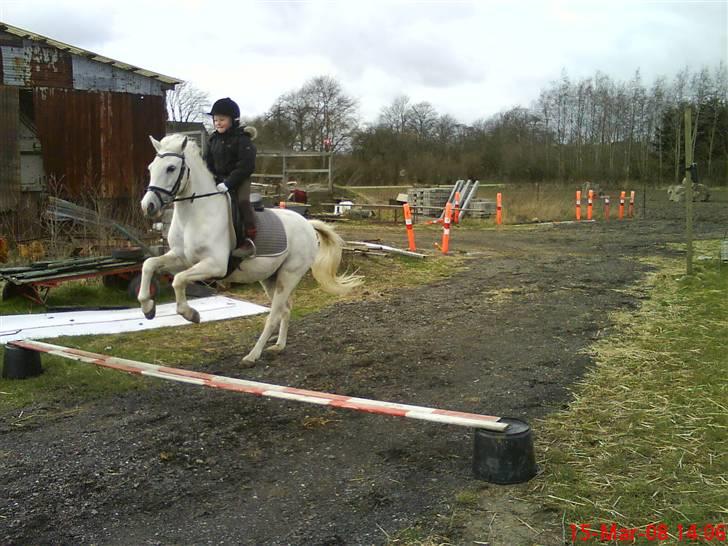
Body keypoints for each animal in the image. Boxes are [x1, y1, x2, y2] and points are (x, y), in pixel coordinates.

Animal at [138, 133, 362, 364]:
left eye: (171, 168)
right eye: (151, 167)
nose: (148, 206)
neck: (194, 215)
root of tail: (307, 224)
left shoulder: (214, 266)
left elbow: (178, 280)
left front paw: (190, 314)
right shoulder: (181, 258)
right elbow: (149, 265)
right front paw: (147, 308)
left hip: (289, 276)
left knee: (274, 315)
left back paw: (253, 355)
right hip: (270, 277)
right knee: (285, 309)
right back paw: (278, 346)